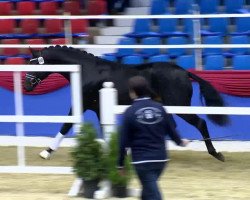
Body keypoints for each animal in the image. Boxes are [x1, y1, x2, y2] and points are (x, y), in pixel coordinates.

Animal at [23, 45, 229, 161]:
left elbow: (66, 125)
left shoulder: (83, 104)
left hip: (180, 105)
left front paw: (46, 152)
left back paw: (216, 153)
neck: (87, 71)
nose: (26, 85)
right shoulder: (98, 108)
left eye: (35, 65)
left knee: (200, 123)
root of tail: (184, 71)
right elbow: (104, 131)